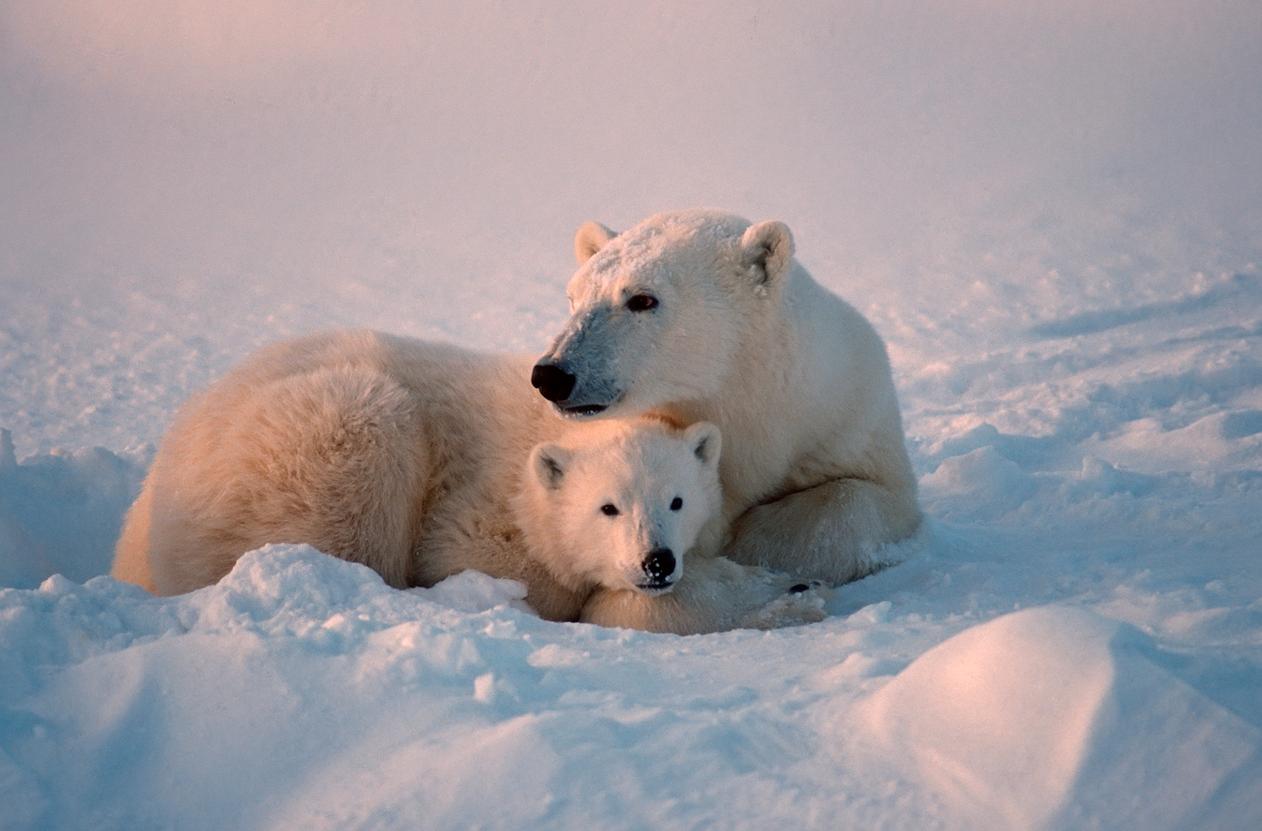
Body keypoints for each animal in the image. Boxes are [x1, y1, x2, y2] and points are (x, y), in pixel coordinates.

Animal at [527, 207, 923, 583]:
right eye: (574, 298)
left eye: (641, 299)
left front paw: (750, 542)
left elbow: (867, 499)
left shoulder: (846, 419)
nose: (551, 375)